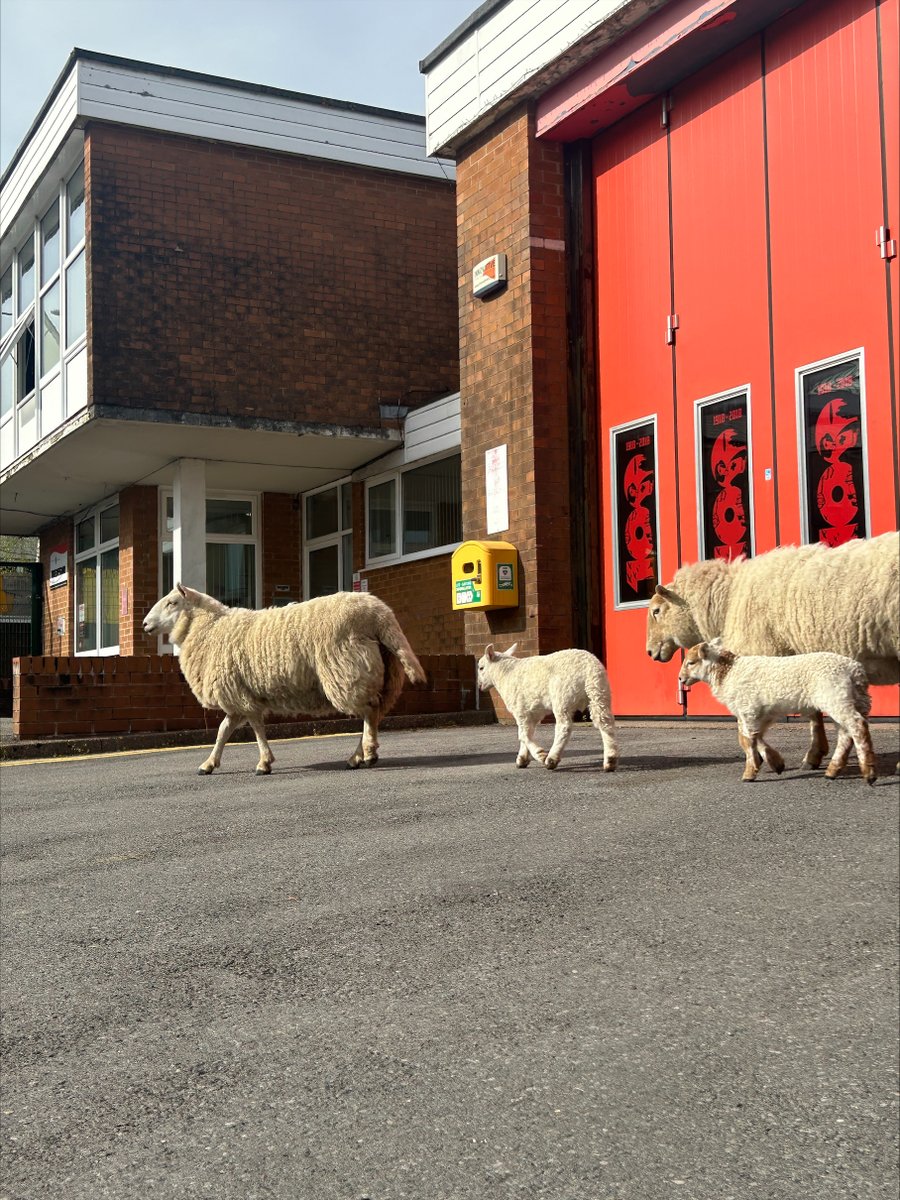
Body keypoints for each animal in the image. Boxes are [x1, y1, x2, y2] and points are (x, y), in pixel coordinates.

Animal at [143, 578, 427, 768]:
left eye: (172, 602)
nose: (145, 624)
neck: (210, 628)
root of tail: (379, 614)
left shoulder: (239, 694)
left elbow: (255, 727)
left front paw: (264, 762)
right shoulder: (238, 695)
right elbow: (224, 731)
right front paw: (209, 764)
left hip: (347, 670)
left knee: (369, 711)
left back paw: (365, 753)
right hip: (381, 672)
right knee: (375, 712)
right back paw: (360, 754)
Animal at [475, 643, 619, 772]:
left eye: (481, 668)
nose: (479, 686)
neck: (505, 674)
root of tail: (589, 668)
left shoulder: (520, 709)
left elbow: (523, 734)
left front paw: (540, 755)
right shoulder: (532, 712)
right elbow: (526, 733)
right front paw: (522, 759)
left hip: (562, 695)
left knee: (564, 727)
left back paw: (551, 759)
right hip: (600, 691)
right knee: (605, 722)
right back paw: (610, 760)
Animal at [643, 535, 897, 768]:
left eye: (656, 611)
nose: (649, 652)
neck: (727, 600)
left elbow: (747, 724)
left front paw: (765, 757)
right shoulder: (800, 666)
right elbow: (813, 713)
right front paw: (815, 754)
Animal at [681, 638, 878, 787]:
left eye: (691, 662)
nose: (681, 679)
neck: (728, 673)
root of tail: (855, 671)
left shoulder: (748, 708)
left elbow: (748, 740)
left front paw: (749, 773)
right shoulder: (762, 712)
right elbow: (754, 737)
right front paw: (776, 763)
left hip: (835, 695)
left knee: (856, 726)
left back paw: (868, 773)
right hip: (854, 699)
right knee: (846, 732)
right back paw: (833, 770)